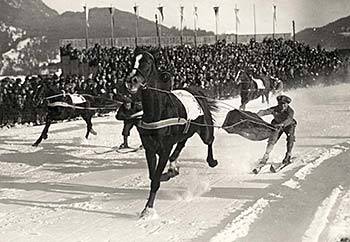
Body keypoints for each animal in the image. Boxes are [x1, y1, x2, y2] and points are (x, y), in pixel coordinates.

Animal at [126, 49, 219, 217]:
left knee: (210, 140)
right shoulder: (150, 148)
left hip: (205, 129)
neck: (157, 112)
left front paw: (148, 209)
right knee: (181, 144)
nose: (131, 80)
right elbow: (153, 175)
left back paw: (211, 161)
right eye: (131, 60)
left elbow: (156, 178)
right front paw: (170, 172)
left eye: (147, 62)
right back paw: (173, 165)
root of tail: (196, 90)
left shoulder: (164, 148)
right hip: (186, 131)